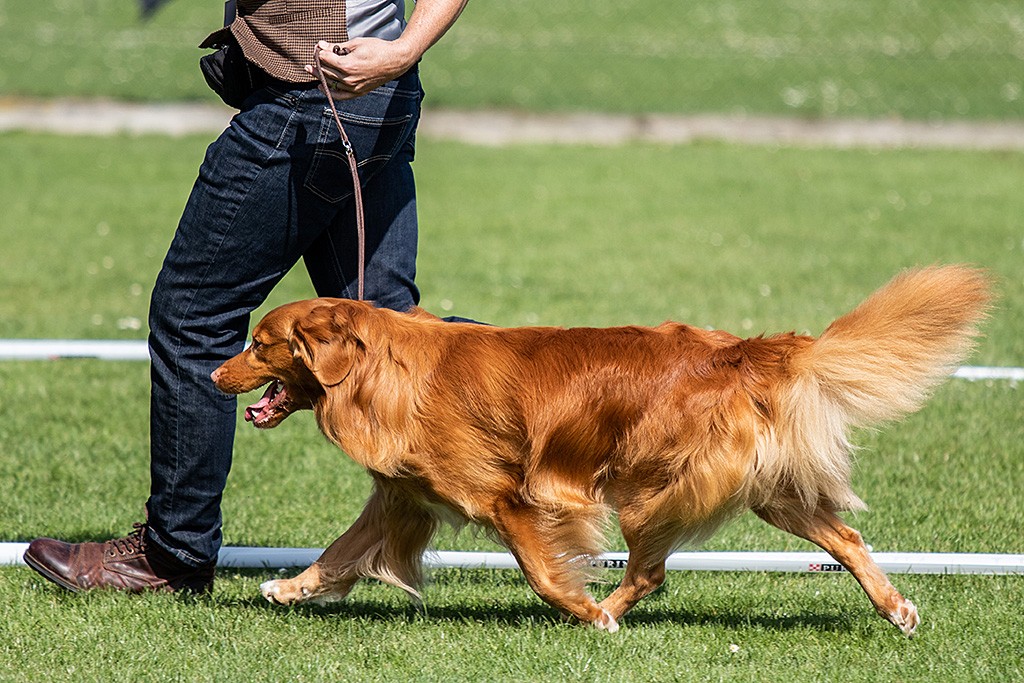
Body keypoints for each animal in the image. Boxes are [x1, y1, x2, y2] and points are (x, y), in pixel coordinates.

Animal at [211, 266, 987, 634]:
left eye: (259, 343)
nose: (215, 373)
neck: (384, 368)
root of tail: (742, 351)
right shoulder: (401, 500)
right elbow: (338, 554)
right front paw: (288, 588)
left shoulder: (508, 497)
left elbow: (543, 571)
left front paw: (581, 609)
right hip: (769, 491)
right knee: (846, 538)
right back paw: (896, 607)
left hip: (652, 492)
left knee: (648, 572)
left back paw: (606, 609)